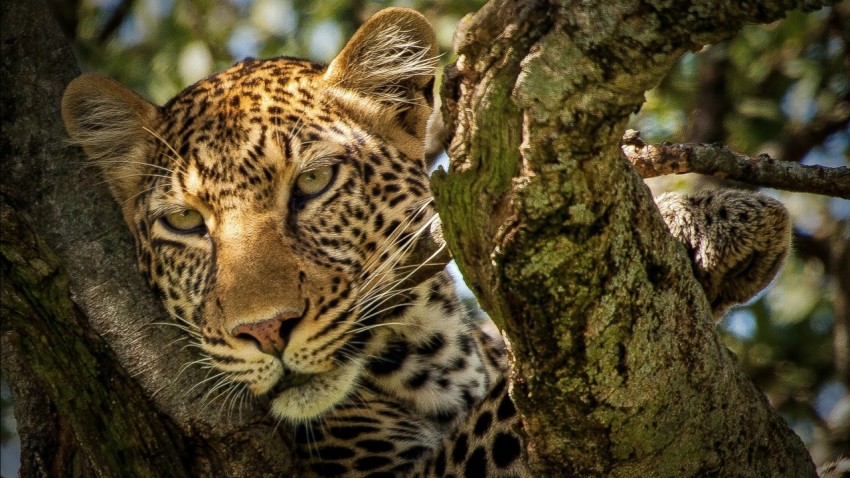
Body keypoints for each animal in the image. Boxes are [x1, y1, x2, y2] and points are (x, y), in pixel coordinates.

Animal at [61, 7, 794, 477]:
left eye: (314, 183)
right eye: (185, 224)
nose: (265, 330)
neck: (440, 356)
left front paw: (715, 220)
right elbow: (512, 410)